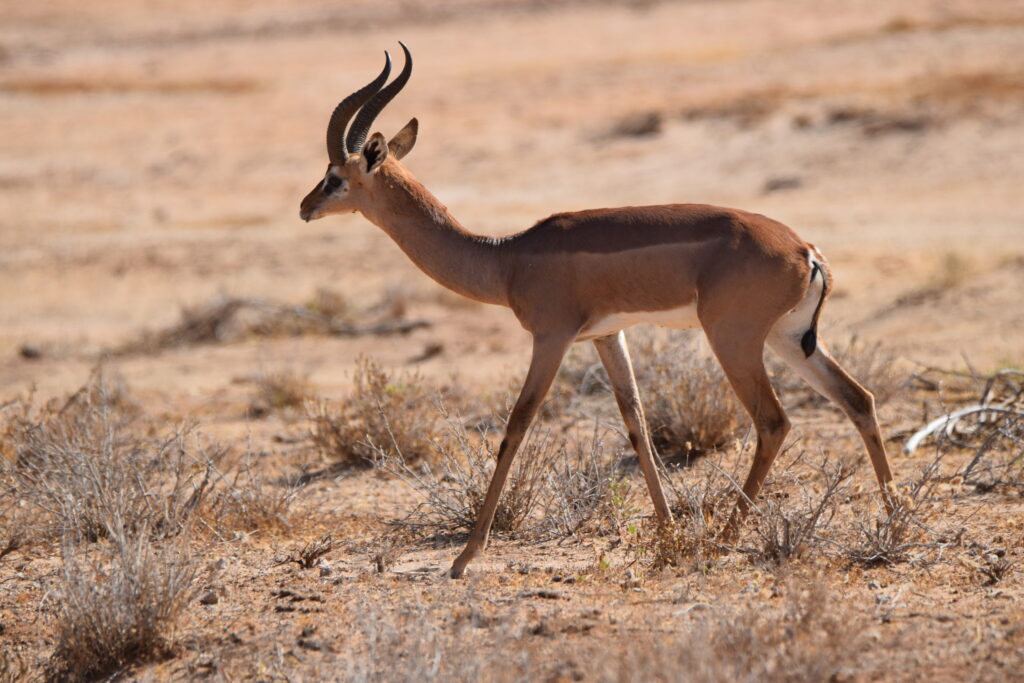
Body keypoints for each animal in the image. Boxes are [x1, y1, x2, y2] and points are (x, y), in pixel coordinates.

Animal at [300, 43, 900, 578]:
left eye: (334, 176)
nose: (305, 207)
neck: (506, 258)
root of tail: (805, 249)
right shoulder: (607, 338)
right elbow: (636, 423)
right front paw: (667, 534)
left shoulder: (551, 338)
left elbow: (517, 425)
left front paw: (464, 558)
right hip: (789, 338)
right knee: (858, 398)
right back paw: (895, 521)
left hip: (733, 339)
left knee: (774, 422)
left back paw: (727, 538)